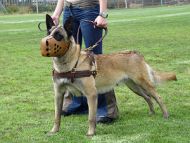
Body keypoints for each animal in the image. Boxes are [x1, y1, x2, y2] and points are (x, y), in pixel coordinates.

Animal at [40, 14, 177, 136]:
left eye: (58, 36)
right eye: (48, 33)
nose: (46, 42)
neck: (71, 64)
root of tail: (136, 53)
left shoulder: (91, 94)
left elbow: (91, 117)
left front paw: (91, 133)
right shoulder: (58, 94)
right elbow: (57, 116)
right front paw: (54, 131)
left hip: (143, 83)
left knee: (158, 97)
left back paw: (165, 115)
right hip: (134, 86)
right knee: (148, 98)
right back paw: (152, 113)